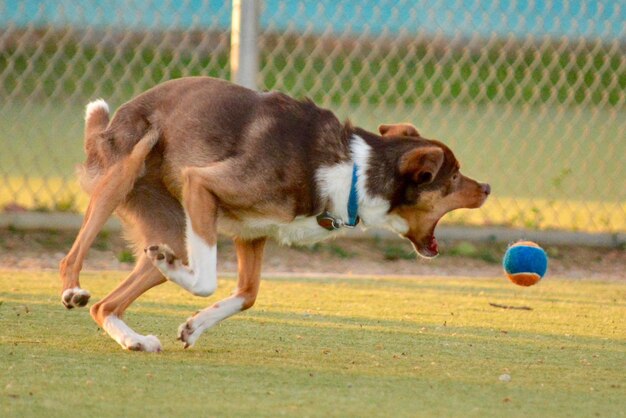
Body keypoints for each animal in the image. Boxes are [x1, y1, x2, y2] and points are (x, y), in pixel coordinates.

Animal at [58, 76, 488, 352]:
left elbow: (247, 295)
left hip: (170, 228)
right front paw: (187, 288)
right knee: (73, 260)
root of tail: (114, 118)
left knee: (104, 306)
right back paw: (75, 289)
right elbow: (207, 281)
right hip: (124, 173)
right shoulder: (201, 184)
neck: (352, 172)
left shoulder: (252, 233)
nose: (486, 188)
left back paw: (134, 339)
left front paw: (194, 327)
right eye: (453, 176)